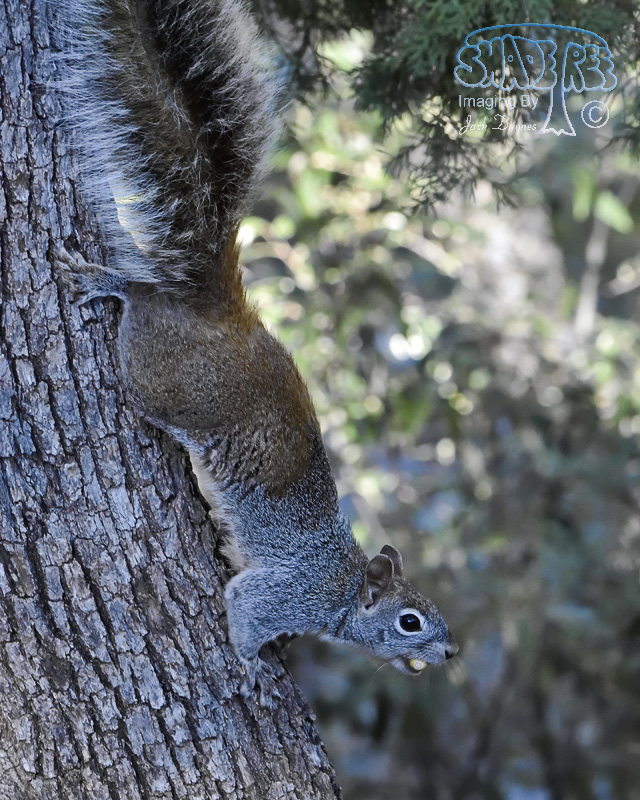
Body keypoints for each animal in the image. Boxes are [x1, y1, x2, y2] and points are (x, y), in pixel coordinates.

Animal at [58, 0, 459, 706]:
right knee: (143, 303)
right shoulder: (287, 593)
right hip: (166, 381)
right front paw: (251, 668)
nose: (452, 651)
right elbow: (246, 610)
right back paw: (112, 284)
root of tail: (222, 312)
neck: (342, 590)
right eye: (410, 621)